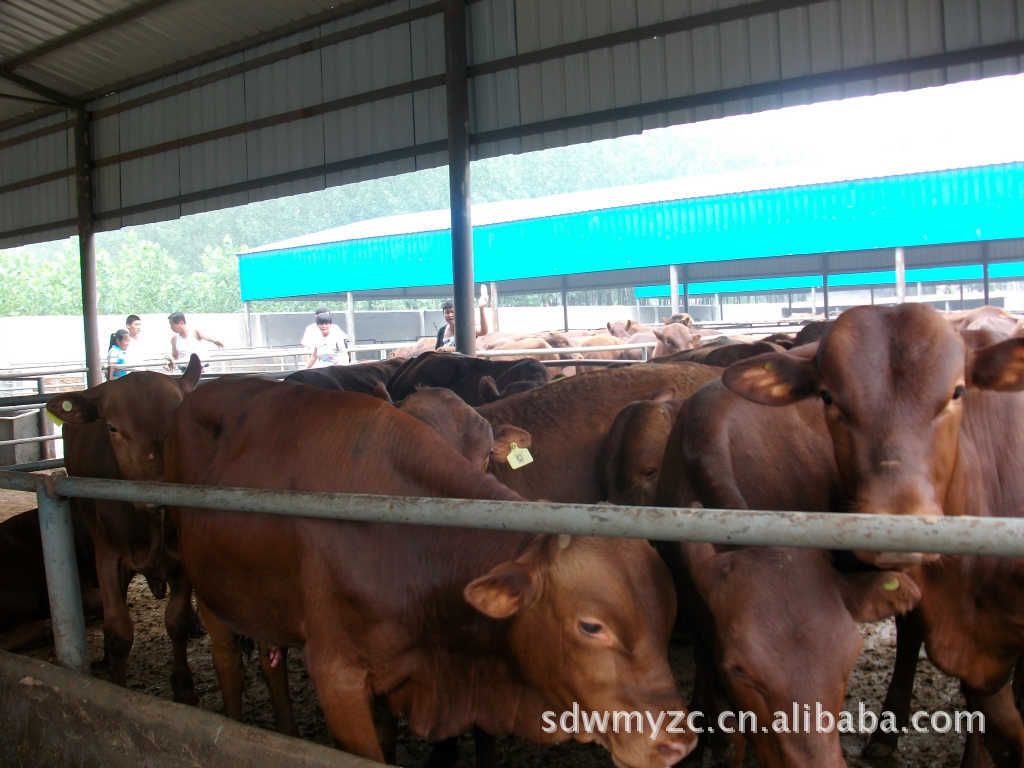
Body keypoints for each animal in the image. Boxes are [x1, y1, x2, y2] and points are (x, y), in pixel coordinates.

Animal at [159, 380, 700, 768]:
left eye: (667, 616)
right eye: (591, 626)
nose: (676, 743)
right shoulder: (337, 676)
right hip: (208, 589)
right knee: (228, 665)